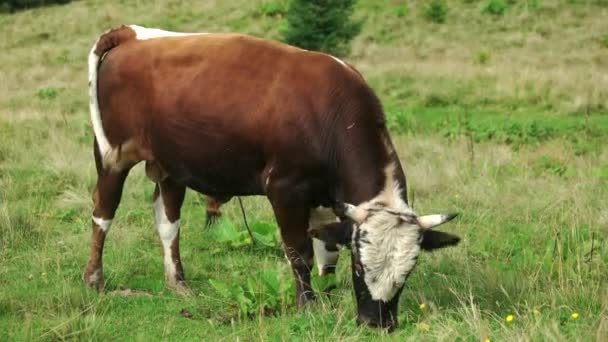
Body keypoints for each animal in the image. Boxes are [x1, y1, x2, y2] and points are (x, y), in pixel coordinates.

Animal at [84, 25, 460, 330]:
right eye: (359, 268)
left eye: (407, 274)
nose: (376, 323)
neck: (330, 113)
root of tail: (132, 34)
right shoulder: (286, 189)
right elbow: (300, 251)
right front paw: (307, 305)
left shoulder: (327, 198)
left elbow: (327, 251)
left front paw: (327, 296)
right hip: (113, 156)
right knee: (103, 214)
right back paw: (94, 280)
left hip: (170, 164)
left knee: (167, 222)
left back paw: (177, 282)